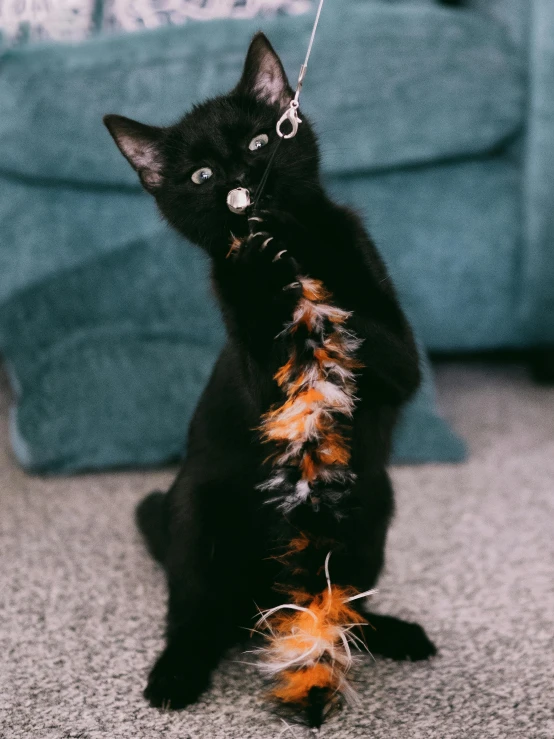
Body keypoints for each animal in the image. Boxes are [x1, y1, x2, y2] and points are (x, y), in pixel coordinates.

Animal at [102, 31, 436, 720]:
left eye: (262, 141)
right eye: (202, 176)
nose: (241, 182)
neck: (293, 251)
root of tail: (263, 606)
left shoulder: (402, 360)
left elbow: (366, 330)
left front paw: (314, 296)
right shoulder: (262, 385)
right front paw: (261, 270)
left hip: (373, 507)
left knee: (344, 606)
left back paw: (380, 635)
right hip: (192, 513)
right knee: (196, 616)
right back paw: (177, 674)